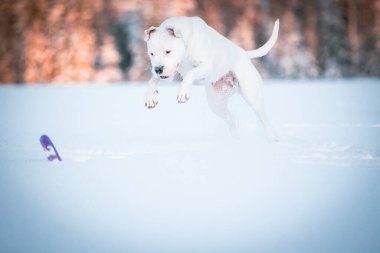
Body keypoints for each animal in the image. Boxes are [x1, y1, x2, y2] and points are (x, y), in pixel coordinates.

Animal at [145, 16, 280, 140]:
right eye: (151, 53)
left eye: (168, 51)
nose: (158, 69)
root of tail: (244, 53)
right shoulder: (168, 75)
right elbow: (152, 81)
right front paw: (151, 97)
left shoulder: (206, 66)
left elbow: (191, 73)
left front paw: (183, 92)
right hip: (216, 103)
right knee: (231, 118)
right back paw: (235, 139)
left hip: (252, 96)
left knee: (263, 117)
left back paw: (272, 138)